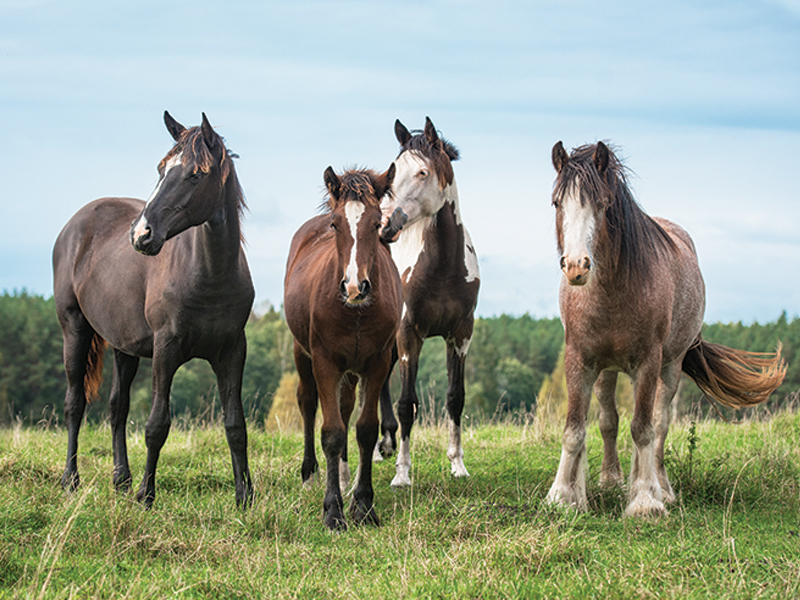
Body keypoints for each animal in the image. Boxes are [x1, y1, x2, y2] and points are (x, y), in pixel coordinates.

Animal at [52, 111, 253, 506]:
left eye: (196, 175)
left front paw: (245, 495)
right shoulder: (166, 349)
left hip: (124, 347)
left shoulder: (232, 352)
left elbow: (235, 425)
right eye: (162, 169)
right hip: (75, 331)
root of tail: (74, 226)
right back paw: (71, 479)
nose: (141, 234)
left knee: (117, 408)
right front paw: (146, 494)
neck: (209, 276)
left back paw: (121, 478)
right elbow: (157, 424)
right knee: (74, 403)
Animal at [284, 164, 404, 528]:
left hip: (352, 369)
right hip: (302, 353)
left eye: (377, 223)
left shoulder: (377, 362)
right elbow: (332, 432)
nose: (354, 287)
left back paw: (344, 473)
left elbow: (364, 429)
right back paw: (311, 474)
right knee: (308, 403)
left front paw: (363, 504)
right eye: (336, 224)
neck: (356, 312)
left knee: (346, 404)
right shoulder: (325, 362)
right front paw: (333, 511)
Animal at [376, 117, 482, 488]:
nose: (385, 225)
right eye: (392, 171)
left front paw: (458, 465)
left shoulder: (461, 334)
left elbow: (456, 398)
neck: (442, 270)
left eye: (422, 172)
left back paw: (385, 444)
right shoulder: (410, 334)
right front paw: (402, 474)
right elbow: (407, 402)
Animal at [548, 139, 784, 516]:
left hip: (670, 366)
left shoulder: (648, 362)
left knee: (659, 423)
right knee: (608, 419)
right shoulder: (579, 359)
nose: (576, 266)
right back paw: (611, 479)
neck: (612, 292)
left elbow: (644, 428)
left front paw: (645, 501)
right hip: (606, 370)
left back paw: (661, 487)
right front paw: (564, 496)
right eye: (558, 203)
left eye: (603, 204)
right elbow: (576, 427)